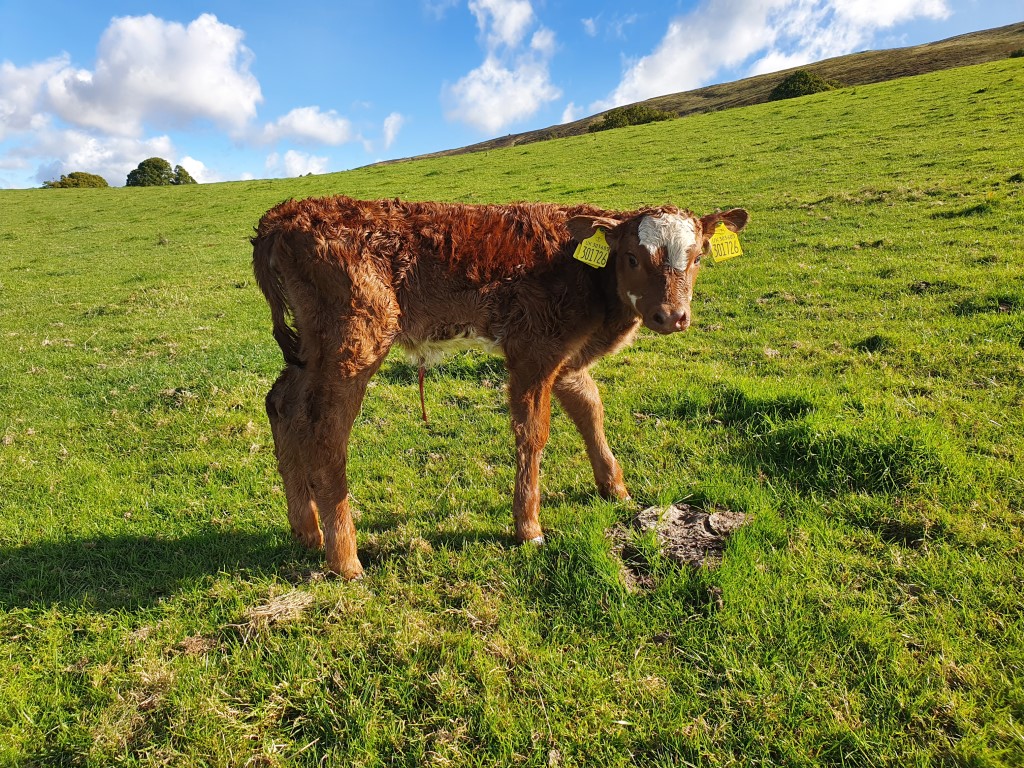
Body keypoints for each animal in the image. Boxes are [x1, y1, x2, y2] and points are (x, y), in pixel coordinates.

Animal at [253, 196, 748, 579]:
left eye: (699, 257)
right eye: (632, 258)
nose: (672, 316)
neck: (586, 275)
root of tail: (287, 214)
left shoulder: (566, 359)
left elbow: (590, 409)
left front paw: (615, 487)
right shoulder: (534, 349)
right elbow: (533, 433)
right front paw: (528, 527)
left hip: (314, 346)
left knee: (283, 405)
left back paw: (306, 530)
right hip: (357, 337)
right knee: (326, 430)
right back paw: (344, 559)